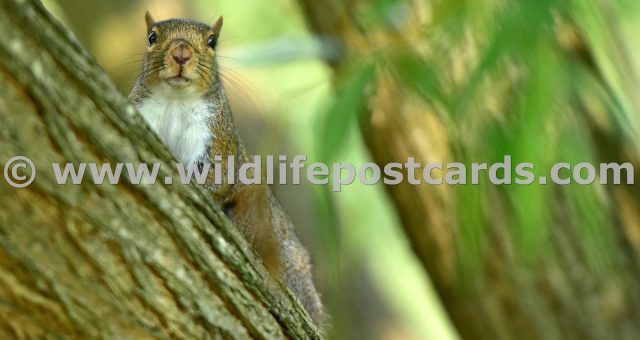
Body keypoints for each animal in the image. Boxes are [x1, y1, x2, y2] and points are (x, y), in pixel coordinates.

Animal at [128, 11, 324, 326]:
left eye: (212, 41)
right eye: (152, 37)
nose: (181, 53)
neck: (175, 101)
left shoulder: (218, 137)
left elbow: (218, 180)